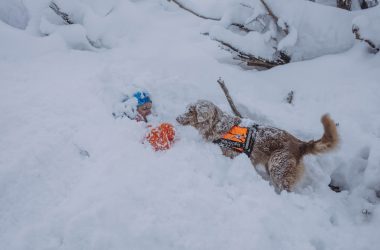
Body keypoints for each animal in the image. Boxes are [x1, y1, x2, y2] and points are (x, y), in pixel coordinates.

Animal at [176, 99, 338, 191]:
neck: (217, 125)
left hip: (277, 165)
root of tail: (299, 144)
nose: (177, 118)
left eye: (190, 111)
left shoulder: (231, 154)